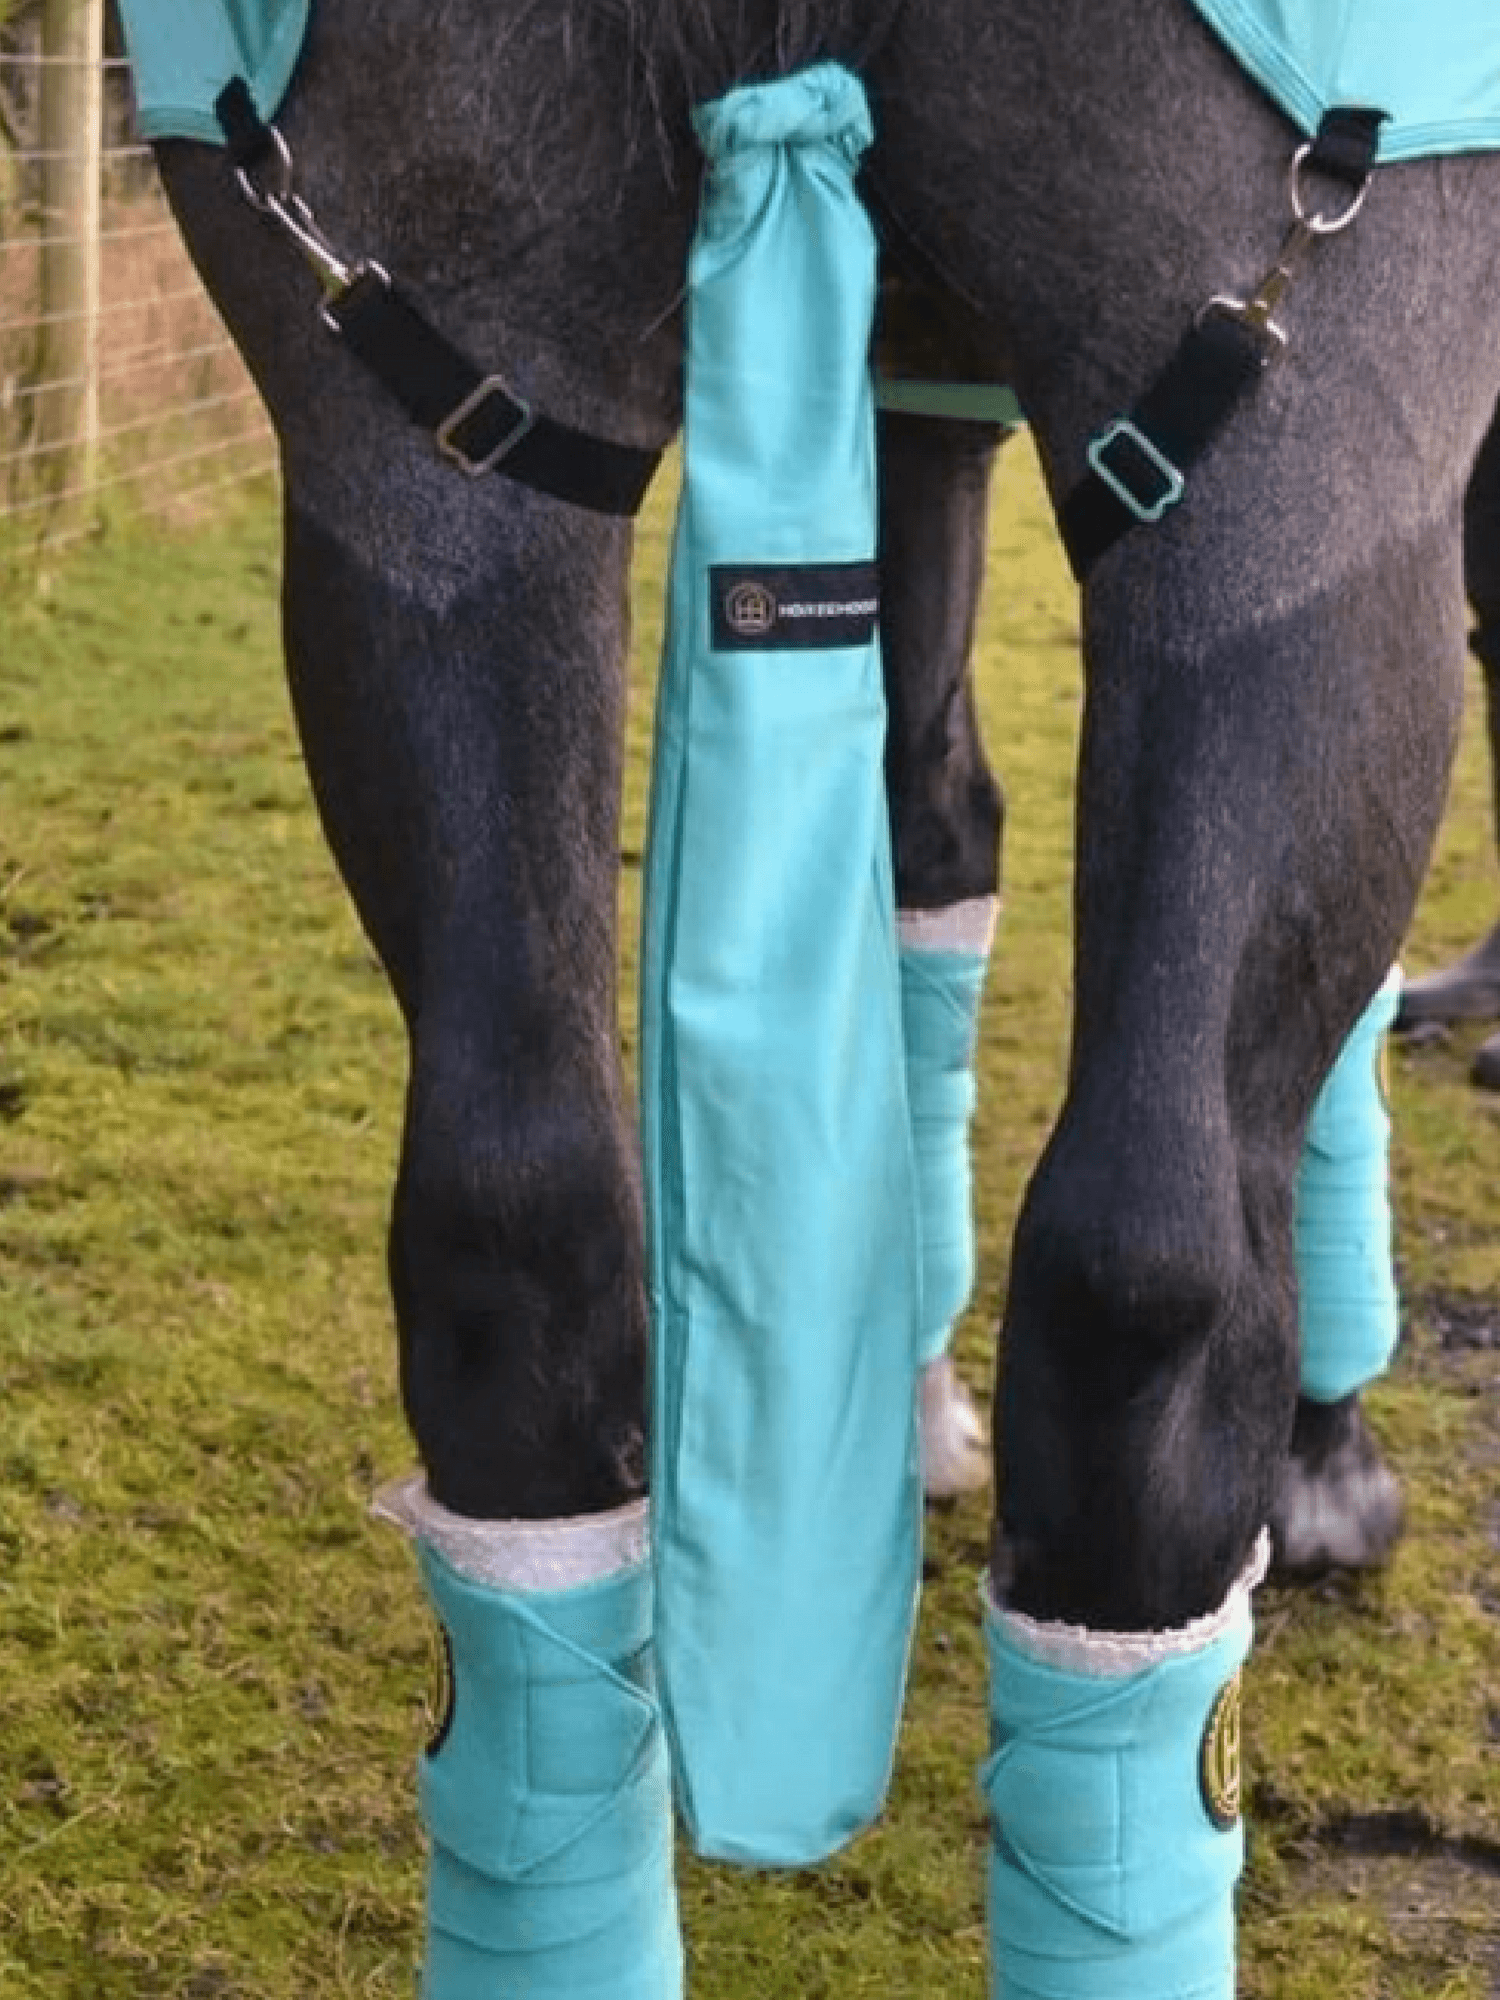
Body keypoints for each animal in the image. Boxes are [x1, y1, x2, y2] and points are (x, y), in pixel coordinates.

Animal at [140, 0, 1500, 1991]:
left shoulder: (897, 402)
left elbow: (928, 832)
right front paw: (1327, 1452)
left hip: (428, 454)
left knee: (513, 1232)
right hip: (1311, 448)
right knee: (1147, 1299)